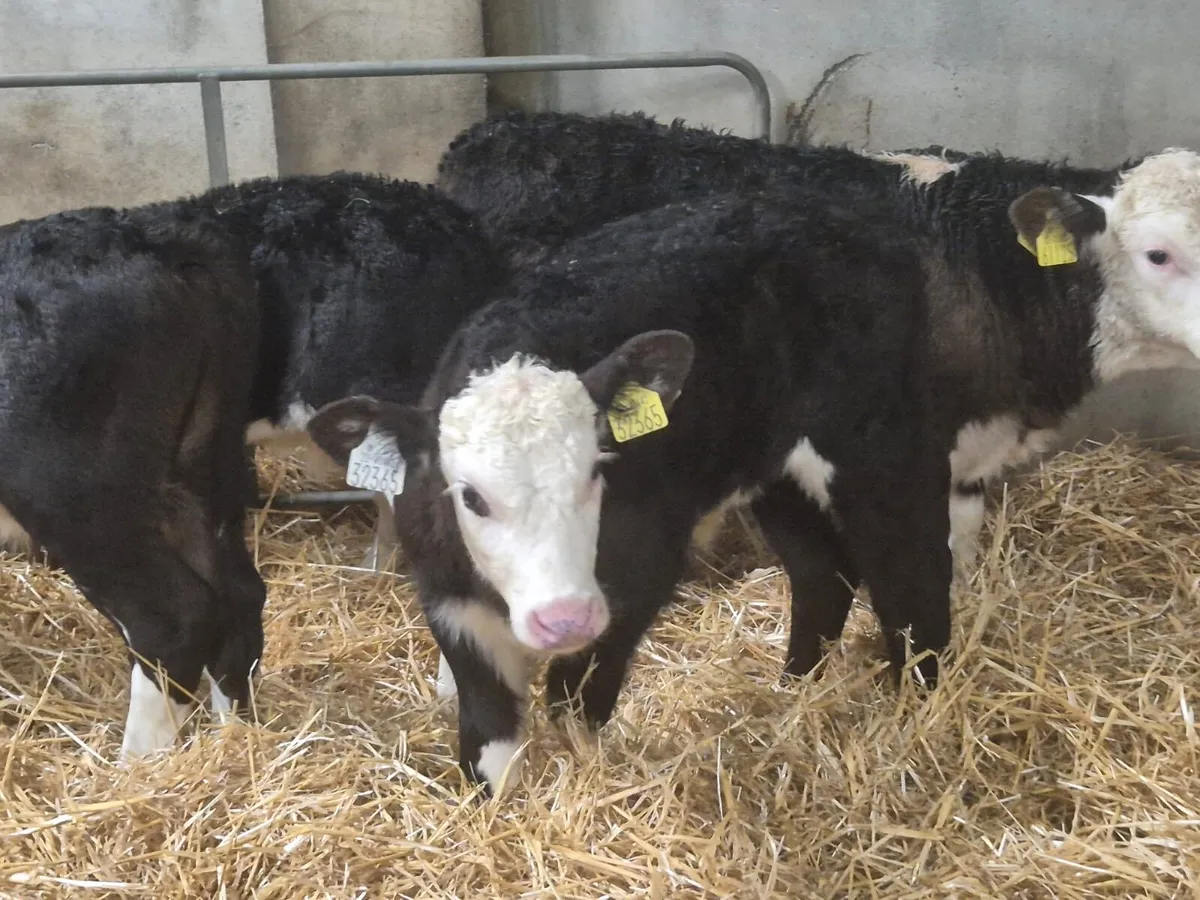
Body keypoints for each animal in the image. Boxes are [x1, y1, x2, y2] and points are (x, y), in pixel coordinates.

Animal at [0, 172, 507, 760]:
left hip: (75, 493)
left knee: (170, 617)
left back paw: (140, 762)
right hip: (202, 468)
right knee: (241, 593)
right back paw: (234, 731)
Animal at [308, 146, 1200, 795]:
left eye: (597, 473)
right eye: (470, 497)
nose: (563, 615)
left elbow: (577, 693)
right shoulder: (459, 611)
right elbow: (498, 731)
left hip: (861, 460)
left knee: (888, 585)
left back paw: (892, 711)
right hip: (820, 471)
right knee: (848, 579)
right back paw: (821, 696)